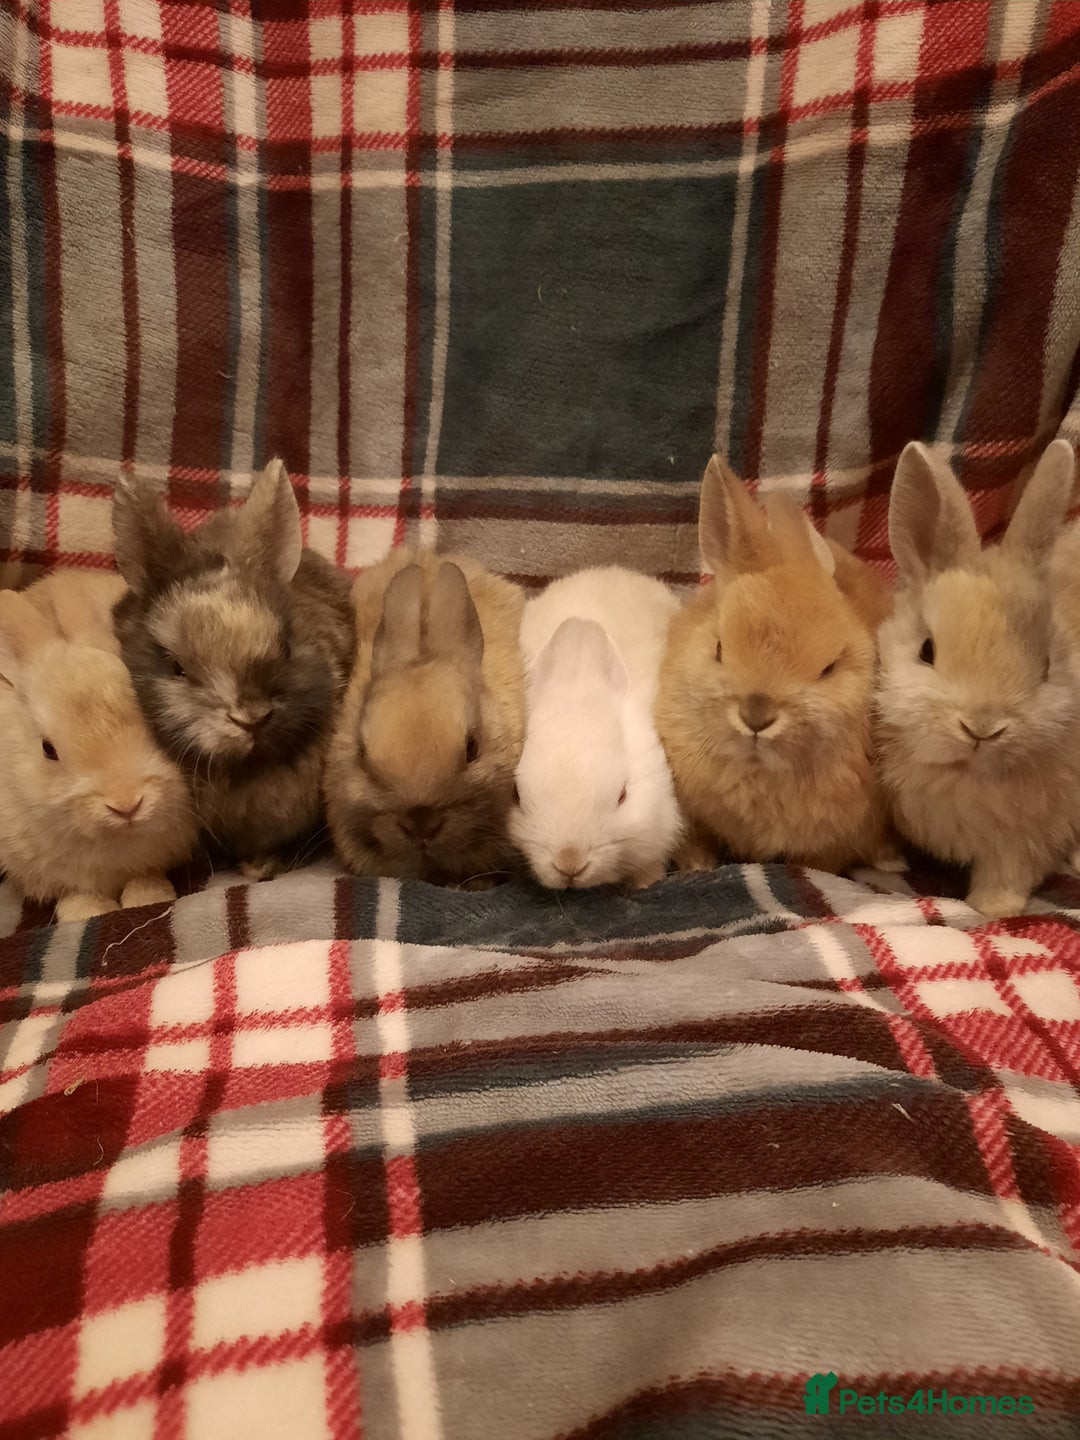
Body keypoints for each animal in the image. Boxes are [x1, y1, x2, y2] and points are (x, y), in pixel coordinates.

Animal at [0, 589, 197, 922]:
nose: (126, 805)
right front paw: (85, 913)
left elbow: (145, 876)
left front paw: (147, 898)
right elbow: (78, 893)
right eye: (48, 749)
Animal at [656, 454, 896, 876]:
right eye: (719, 648)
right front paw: (698, 867)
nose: (756, 715)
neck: (759, 770)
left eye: (829, 668)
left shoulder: (836, 841)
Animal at [878, 436, 1080, 918]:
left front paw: (994, 909)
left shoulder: (1027, 837)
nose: (981, 727)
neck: (964, 773)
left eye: (1046, 666)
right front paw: (889, 864)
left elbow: (1009, 872)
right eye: (926, 651)